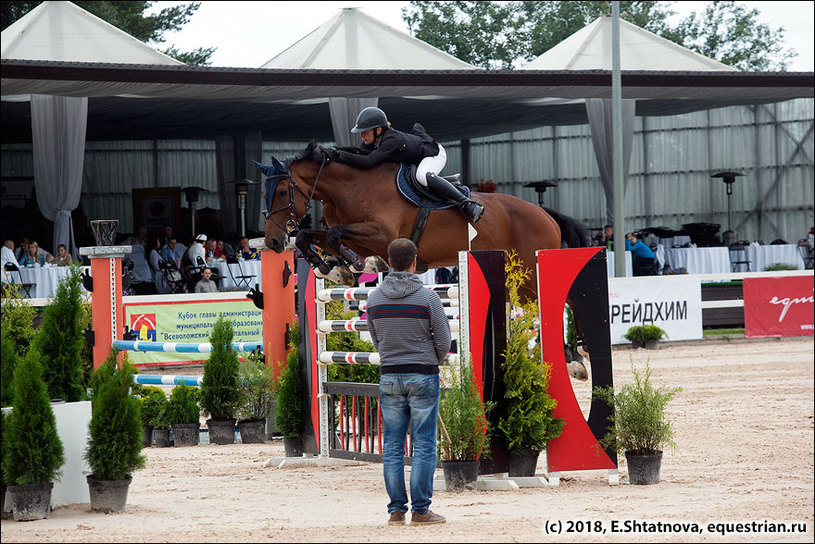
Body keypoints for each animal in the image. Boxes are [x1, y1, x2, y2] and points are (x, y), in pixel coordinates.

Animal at [260, 140, 592, 378]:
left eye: (281, 192)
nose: (272, 242)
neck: (349, 187)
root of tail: (544, 213)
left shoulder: (382, 236)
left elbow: (334, 235)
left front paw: (353, 264)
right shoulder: (360, 237)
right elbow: (312, 236)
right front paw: (333, 269)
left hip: (529, 268)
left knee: (563, 301)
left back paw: (578, 357)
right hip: (516, 281)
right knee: (540, 306)